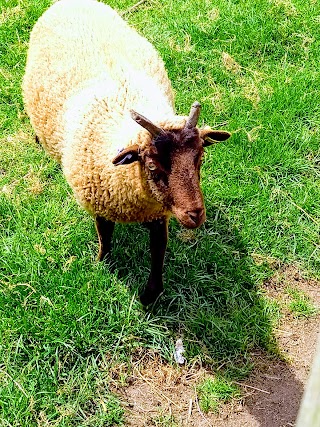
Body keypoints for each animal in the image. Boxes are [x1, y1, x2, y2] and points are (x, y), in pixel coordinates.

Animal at [23, 0, 231, 308]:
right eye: (153, 166)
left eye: (200, 160)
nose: (195, 215)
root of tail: (70, 2)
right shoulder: (100, 204)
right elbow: (105, 238)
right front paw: (103, 263)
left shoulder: (159, 213)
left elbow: (158, 251)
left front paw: (151, 294)